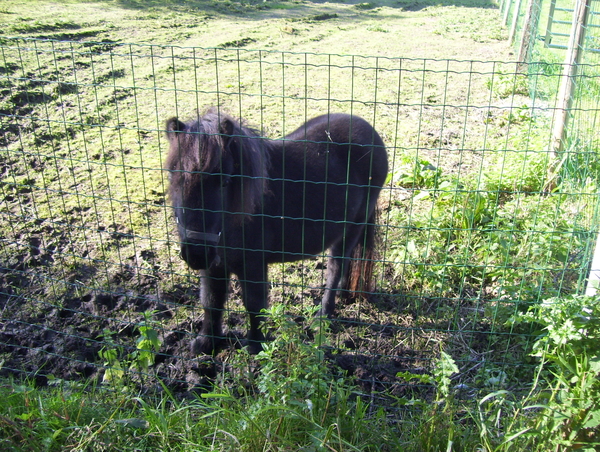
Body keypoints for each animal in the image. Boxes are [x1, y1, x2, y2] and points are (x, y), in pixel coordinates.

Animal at [164, 107, 390, 354]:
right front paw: (206, 342)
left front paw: (255, 346)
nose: (196, 253)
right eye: (174, 177)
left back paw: (323, 316)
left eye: (224, 181)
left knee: (335, 267)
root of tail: (368, 129)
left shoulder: (253, 264)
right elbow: (211, 301)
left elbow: (254, 305)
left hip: (352, 227)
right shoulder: (214, 265)